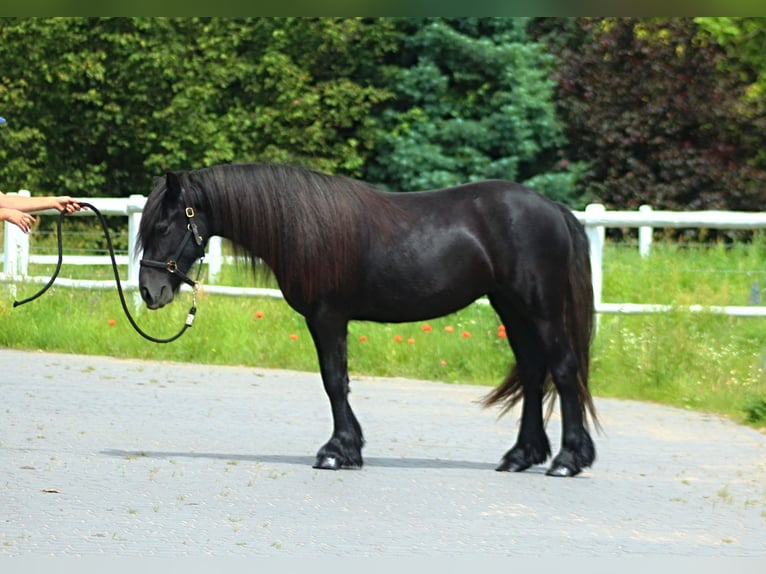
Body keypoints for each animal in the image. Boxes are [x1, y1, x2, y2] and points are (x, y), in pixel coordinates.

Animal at [141, 164, 604, 480]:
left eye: (163, 225)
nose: (149, 292)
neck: (308, 227)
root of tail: (554, 209)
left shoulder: (327, 316)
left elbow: (334, 380)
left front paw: (337, 451)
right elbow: (338, 381)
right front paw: (350, 447)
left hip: (540, 308)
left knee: (563, 371)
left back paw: (567, 460)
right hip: (512, 307)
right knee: (533, 371)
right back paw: (521, 456)